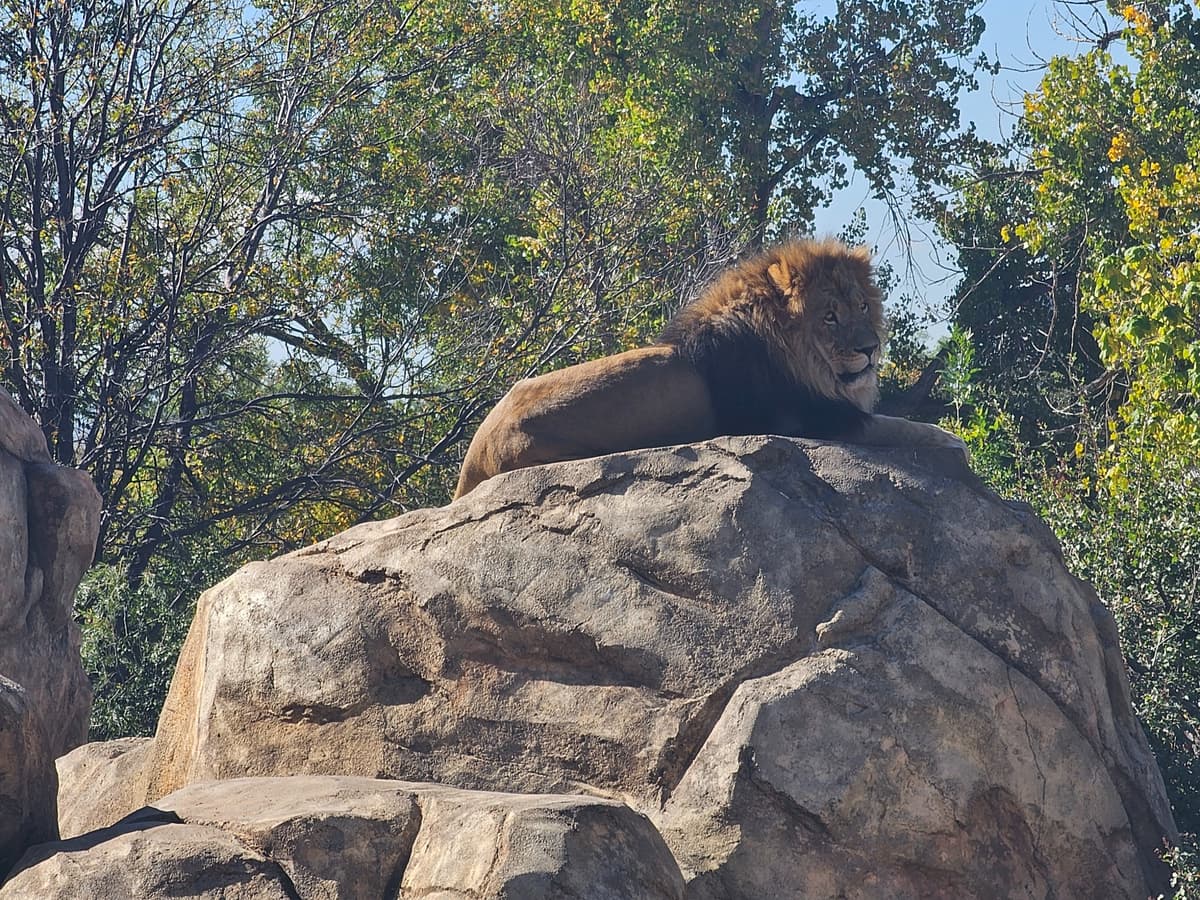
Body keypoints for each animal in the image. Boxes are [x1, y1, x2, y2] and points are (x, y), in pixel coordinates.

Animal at [453, 238, 967, 498]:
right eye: (830, 316)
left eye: (862, 306)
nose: (871, 348)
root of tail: (470, 464)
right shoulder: (811, 423)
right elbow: (901, 427)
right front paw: (953, 440)